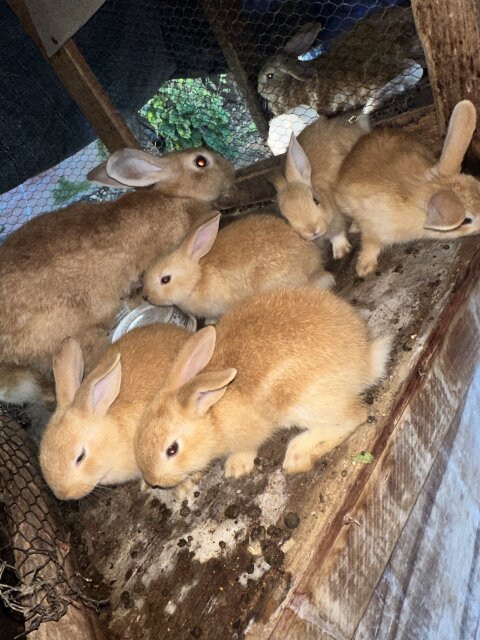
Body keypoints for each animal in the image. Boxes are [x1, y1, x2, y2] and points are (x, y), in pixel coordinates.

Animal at [134, 288, 391, 488]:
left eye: (172, 449)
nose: (154, 481)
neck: (213, 415)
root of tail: (364, 361)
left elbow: (247, 447)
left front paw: (236, 467)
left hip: (300, 402)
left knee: (353, 417)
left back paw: (298, 454)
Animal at [257, 6, 424, 117]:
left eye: (269, 76)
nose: (259, 91)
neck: (289, 84)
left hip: (368, 70)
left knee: (414, 69)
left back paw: (372, 104)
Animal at [269, 114, 369, 258]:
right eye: (286, 220)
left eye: (316, 200)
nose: (312, 230)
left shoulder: (337, 218)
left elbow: (337, 234)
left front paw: (341, 251)